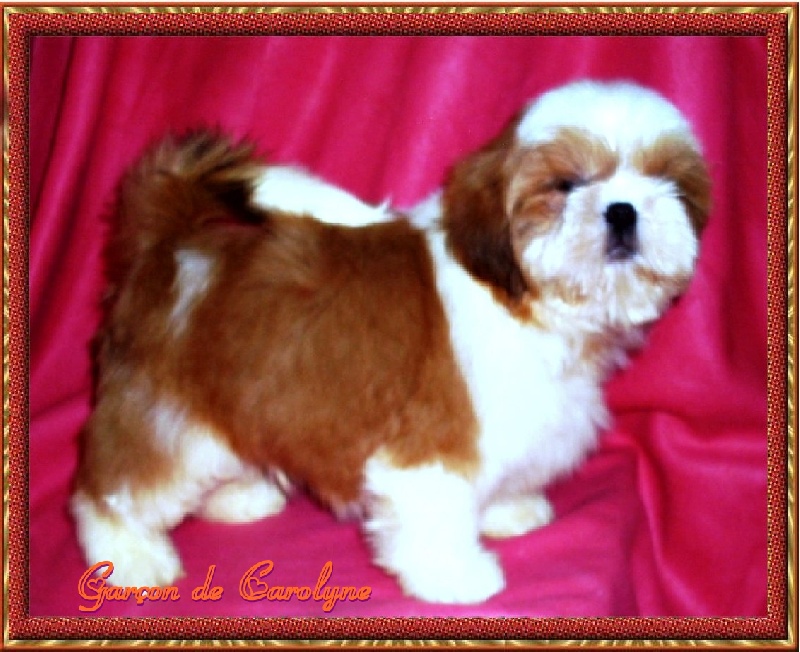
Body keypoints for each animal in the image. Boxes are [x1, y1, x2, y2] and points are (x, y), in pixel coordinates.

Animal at [72, 80, 710, 605]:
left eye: (667, 183)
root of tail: (168, 239)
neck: (520, 298)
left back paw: (237, 496)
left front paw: (507, 509)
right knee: (113, 486)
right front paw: (455, 575)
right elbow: (436, 510)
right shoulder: (432, 441)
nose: (623, 211)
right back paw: (128, 557)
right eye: (567, 185)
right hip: (161, 406)